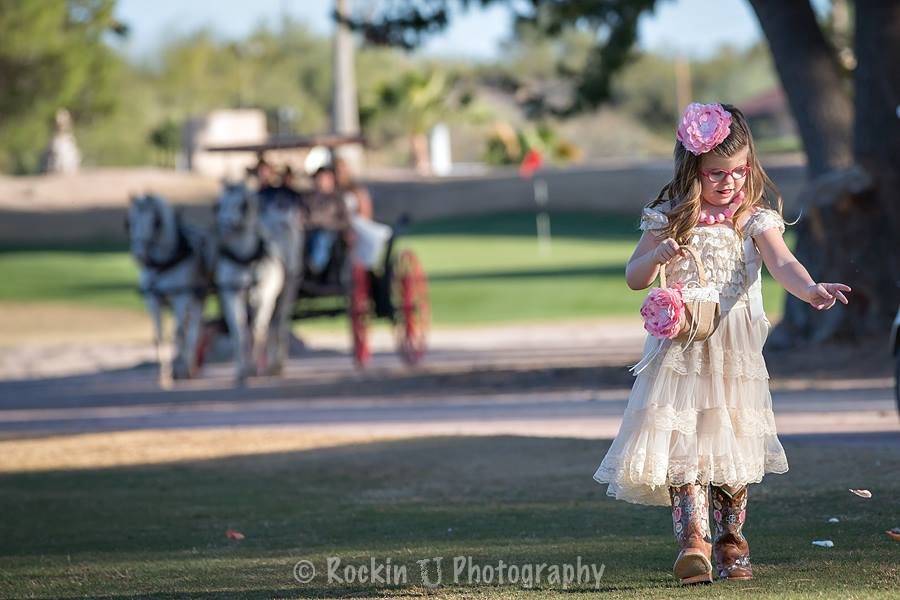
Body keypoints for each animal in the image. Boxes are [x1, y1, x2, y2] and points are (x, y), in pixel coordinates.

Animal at [125, 195, 208, 386]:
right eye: (129, 223)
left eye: (156, 222)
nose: (139, 255)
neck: (163, 263)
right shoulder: (153, 300)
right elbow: (159, 336)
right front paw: (164, 375)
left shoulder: (180, 297)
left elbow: (178, 334)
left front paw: (180, 370)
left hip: (197, 298)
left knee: (192, 329)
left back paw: (188, 366)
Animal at [213, 180, 284, 382]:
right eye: (220, 204)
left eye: (242, 204)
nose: (222, 223)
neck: (244, 258)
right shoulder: (231, 293)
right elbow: (239, 331)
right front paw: (242, 370)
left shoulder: (264, 295)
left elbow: (259, 330)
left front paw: (256, 369)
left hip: (279, 297)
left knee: (274, 326)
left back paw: (273, 366)